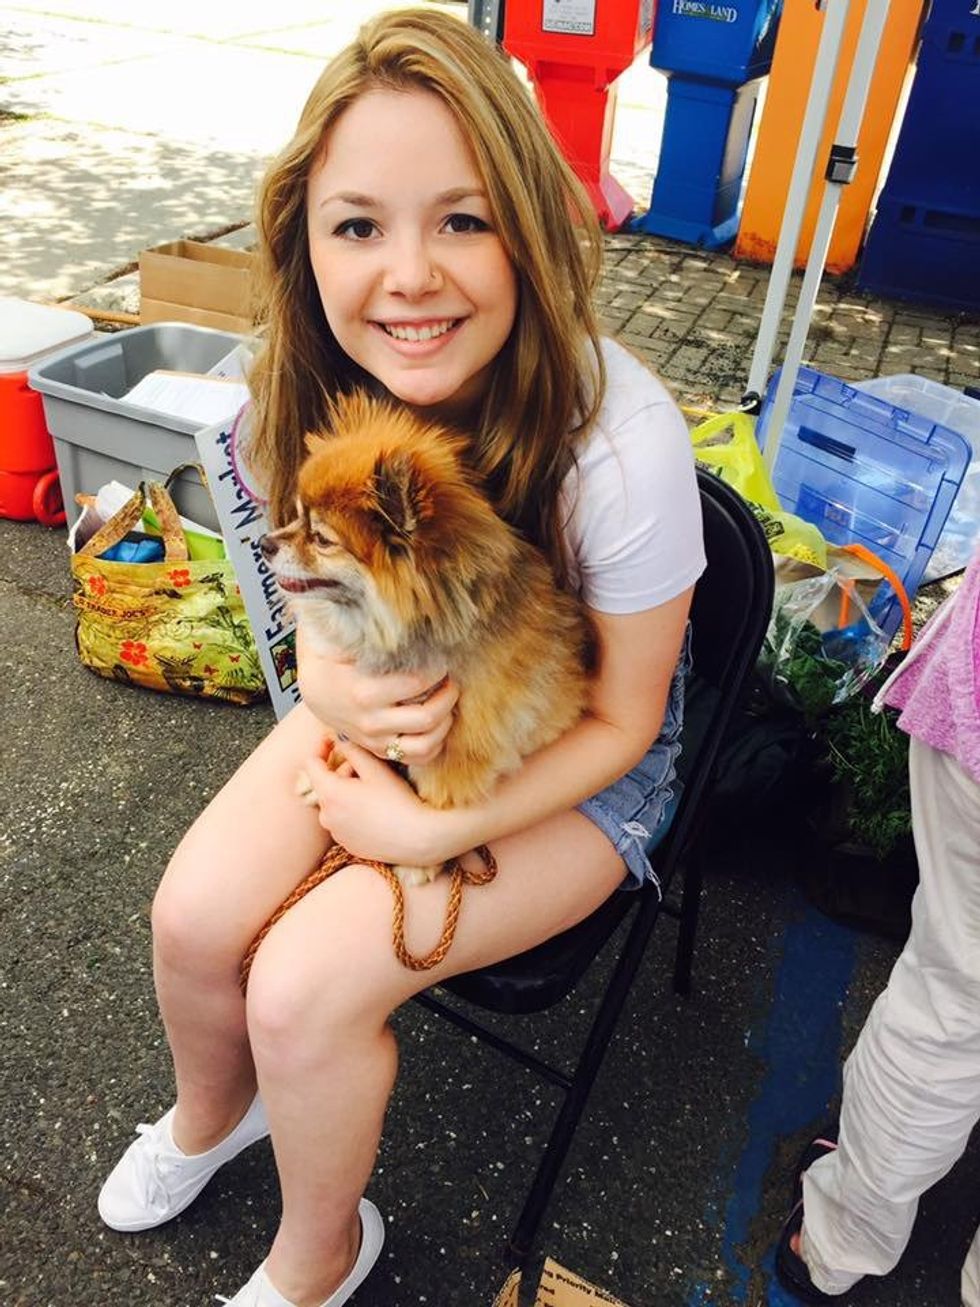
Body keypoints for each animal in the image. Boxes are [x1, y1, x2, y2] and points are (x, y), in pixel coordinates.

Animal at [260, 390, 593, 885]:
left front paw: (417, 861)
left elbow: (434, 807)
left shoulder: (459, 747)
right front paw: (327, 775)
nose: (264, 543)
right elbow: (358, 743)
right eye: (296, 516)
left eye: (321, 539)